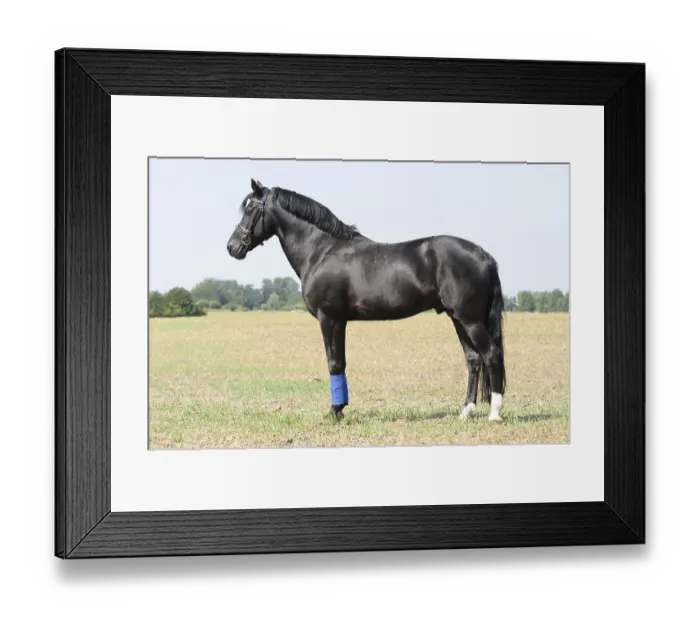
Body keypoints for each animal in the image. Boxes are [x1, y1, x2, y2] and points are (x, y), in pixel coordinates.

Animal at [227, 178, 507, 424]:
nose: (232, 247)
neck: (321, 250)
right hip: (457, 318)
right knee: (473, 359)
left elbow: (334, 363)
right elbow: (340, 362)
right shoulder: (339, 320)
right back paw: (466, 412)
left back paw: (494, 413)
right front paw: (340, 409)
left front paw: (335, 411)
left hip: (470, 320)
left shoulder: (330, 319)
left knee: (491, 354)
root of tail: (484, 255)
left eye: (250, 209)